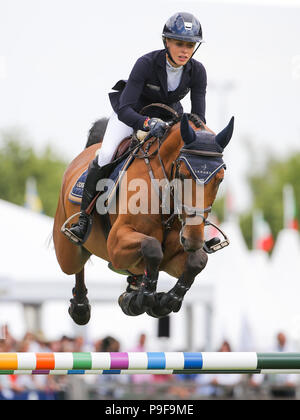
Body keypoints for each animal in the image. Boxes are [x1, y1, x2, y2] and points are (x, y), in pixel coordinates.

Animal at [52, 111, 233, 324]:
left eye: (219, 179)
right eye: (182, 174)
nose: (193, 239)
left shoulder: (174, 257)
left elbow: (198, 261)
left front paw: (167, 300)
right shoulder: (116, 244)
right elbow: (152, 247)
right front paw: (146, 298)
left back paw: (130, 294)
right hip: (67, 253)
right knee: (76, 265)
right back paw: (80, 306)